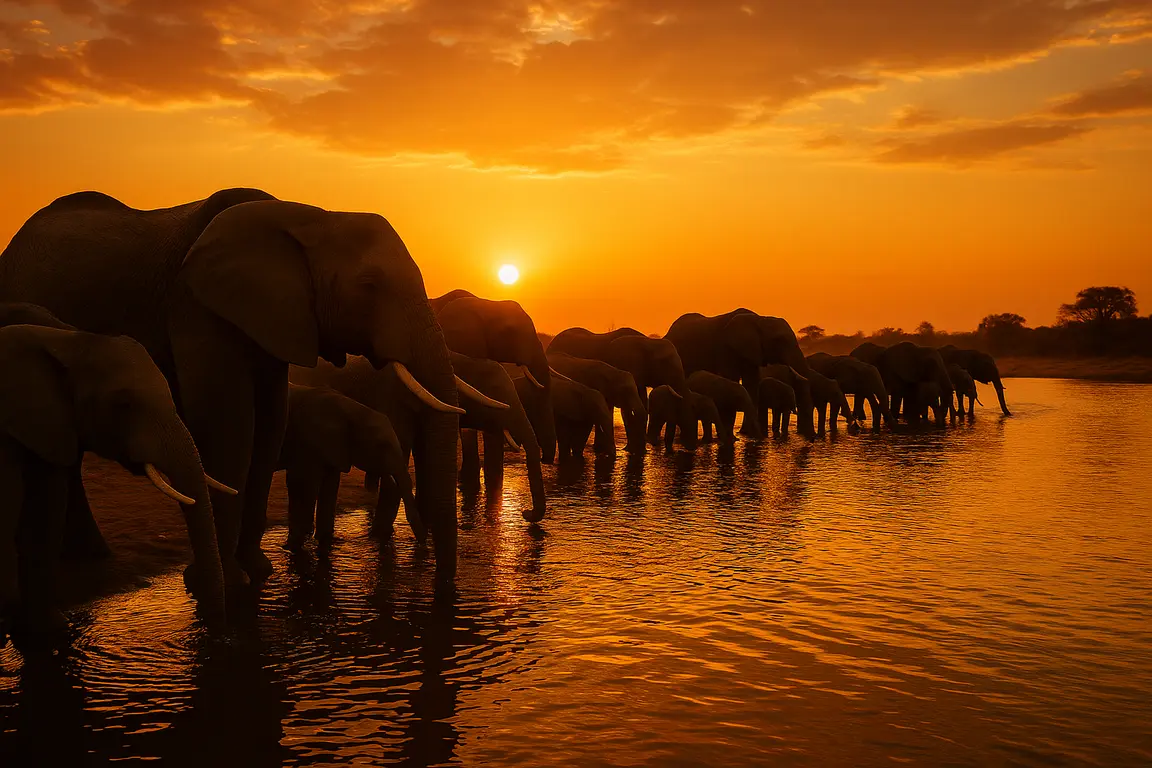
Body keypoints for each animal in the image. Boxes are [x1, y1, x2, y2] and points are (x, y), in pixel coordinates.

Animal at [0, 325, 228, 646]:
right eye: (123, 405)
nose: (218, 637)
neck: (66, 341)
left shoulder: (52, 424)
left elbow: (47, 512)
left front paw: (49, 633)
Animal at [279, 384, 417, 552]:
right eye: (382, 446)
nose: (419, 543)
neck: (352, 411)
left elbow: (330, 485)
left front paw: (326, 542)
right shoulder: (308, 441)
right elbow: (303, 483)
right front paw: (293, 548)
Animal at [665, 309, 814, 436]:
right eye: (779, 340)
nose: (811, 437)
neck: (760, 319)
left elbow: (752, 383)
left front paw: (746, 432)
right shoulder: (726, 348)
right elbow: (732, 378)